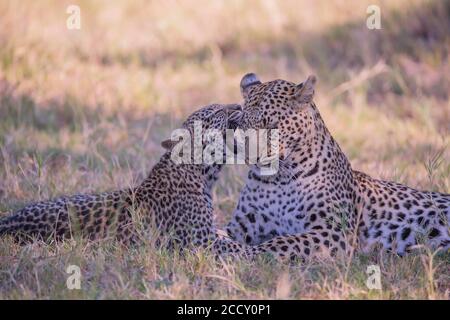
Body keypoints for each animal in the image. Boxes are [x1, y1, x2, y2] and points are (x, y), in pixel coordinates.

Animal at [229, 74, 450, 258]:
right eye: (243, 126)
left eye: (271, 126)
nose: (249, 154)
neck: (278, 179)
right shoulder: (244, 222)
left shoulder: (335, 230)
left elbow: (281, 242)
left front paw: (243, 254)